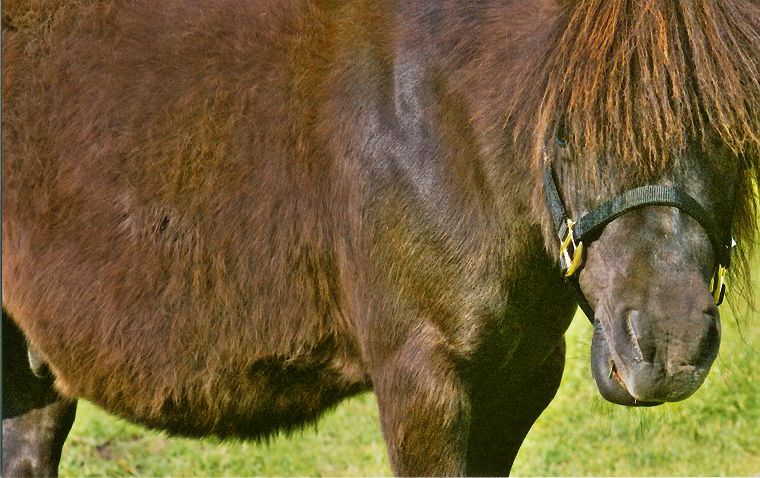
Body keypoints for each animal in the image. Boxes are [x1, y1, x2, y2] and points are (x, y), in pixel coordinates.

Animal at [1, 0, 760, 474]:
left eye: (726, 123)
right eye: (569, 125)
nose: (668, 346)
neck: (440, 123)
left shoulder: (517, 383)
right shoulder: (422, 383)